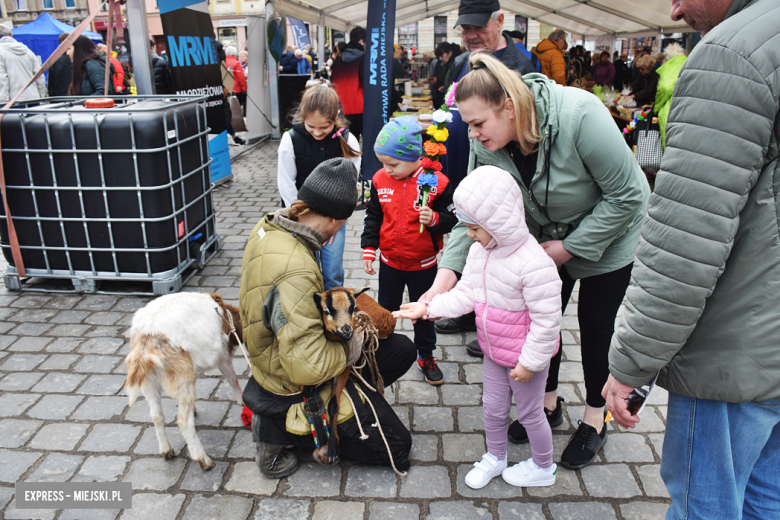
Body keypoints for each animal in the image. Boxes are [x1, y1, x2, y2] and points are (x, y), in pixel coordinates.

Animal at [124, 292, 244, 472]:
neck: (224, 314)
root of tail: (145, 342)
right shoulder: (222, 355)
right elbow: (232, 378)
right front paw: (242, 400)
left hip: (149, 383)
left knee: (157, 415)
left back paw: (166, 450)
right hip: (182, 373)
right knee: (183, 420)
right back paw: (203, 460)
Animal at [310, 288, 396, 464]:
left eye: (353, 308)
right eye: (326, 311)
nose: (347, 331)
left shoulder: (344, 367)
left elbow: (333, 404)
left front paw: (333, 449)